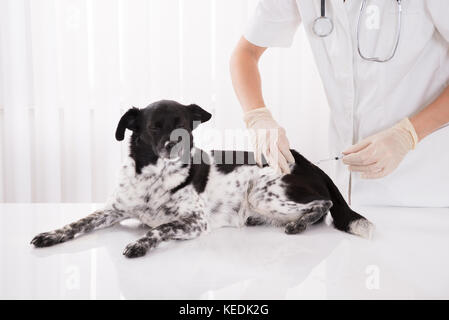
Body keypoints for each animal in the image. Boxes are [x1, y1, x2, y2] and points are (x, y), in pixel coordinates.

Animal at [31, 100, 372, 258]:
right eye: (154, 127)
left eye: (183, 124)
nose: (175, 144)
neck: (155, 179)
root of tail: (308, 161)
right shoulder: (112, 210)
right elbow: (78, 222)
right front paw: (51, 234)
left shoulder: (195, 221)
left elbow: (158, 229)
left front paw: (140, 243)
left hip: (261, 190)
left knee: (323, 204)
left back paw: (298, 223)